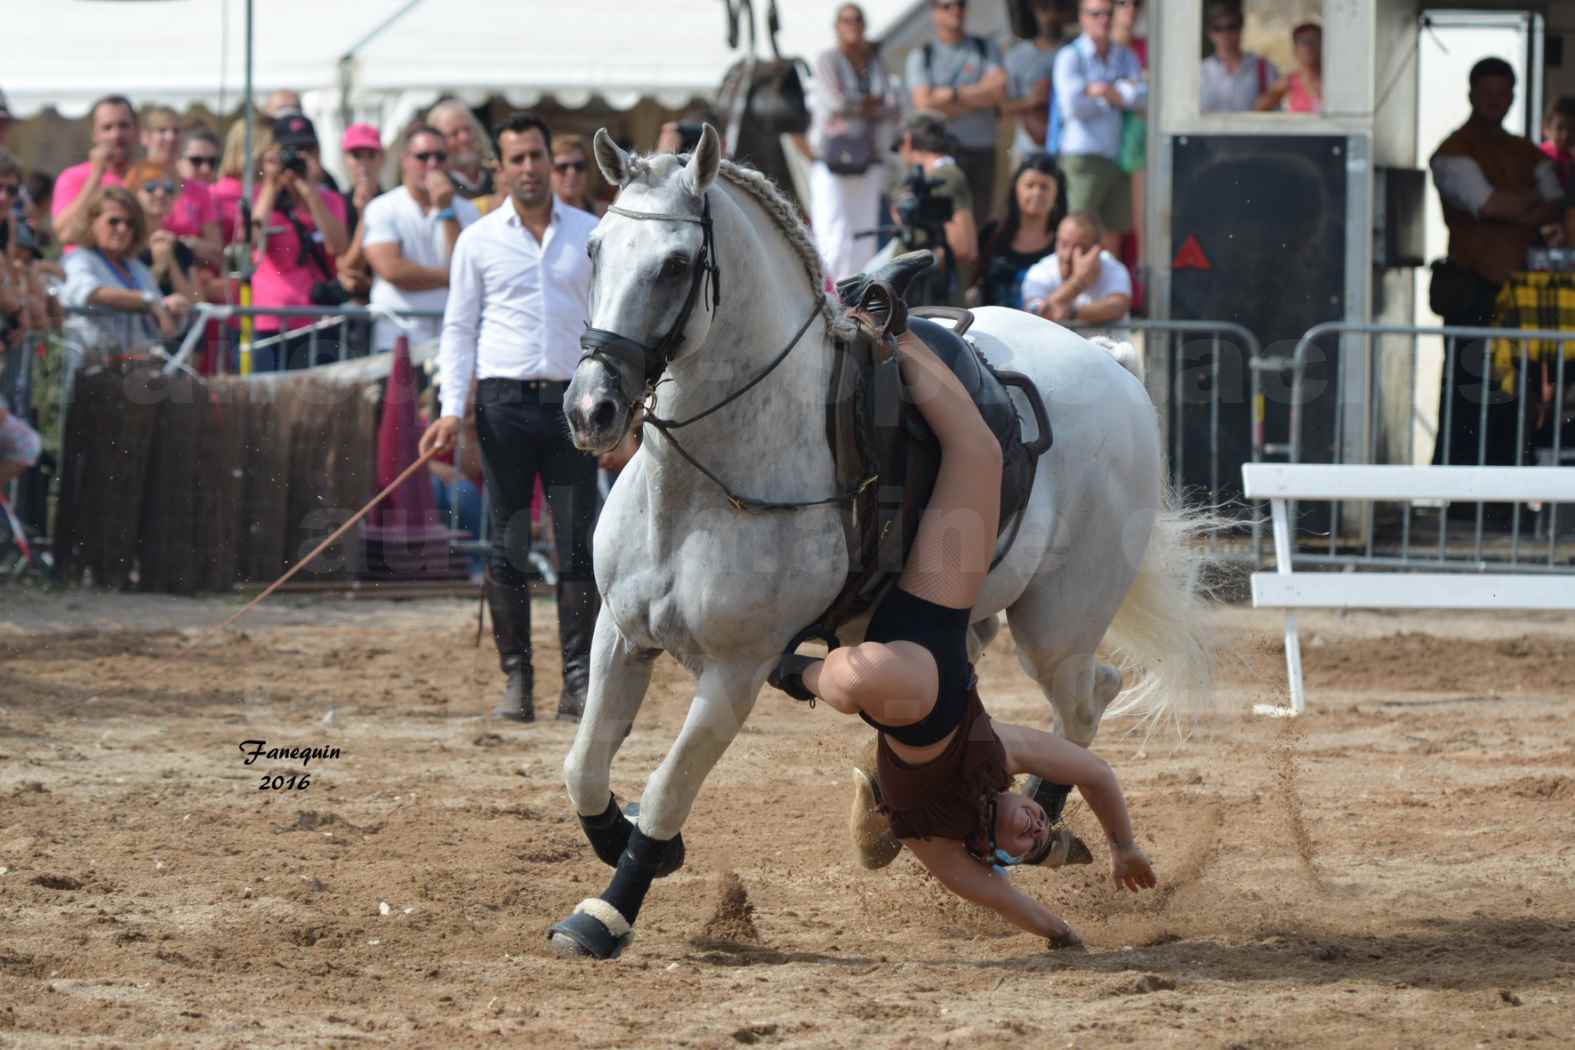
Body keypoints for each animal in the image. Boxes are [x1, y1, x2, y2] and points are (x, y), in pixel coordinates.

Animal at [548, 125, 1209, 963]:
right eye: (595, 248)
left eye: (672, 264)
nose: (590, 409)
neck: (702, 485)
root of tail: (1113, 365)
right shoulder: (621, 633)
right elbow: (583, 767)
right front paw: (630, 843)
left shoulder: (733, 672)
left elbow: (670, 787)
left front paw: (607, 910)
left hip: (1054, 627)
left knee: (1086, 703)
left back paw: (1042, 820)